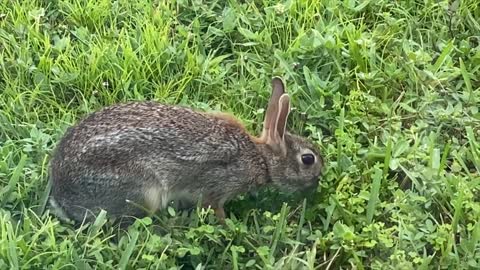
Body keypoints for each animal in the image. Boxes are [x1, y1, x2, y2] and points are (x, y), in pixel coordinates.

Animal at [47, 77, 322, 225]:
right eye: (308, 159)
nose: (318, 181)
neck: (260, 158)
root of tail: (63, 196)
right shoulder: (216, 189)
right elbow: (216, 209)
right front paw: (228, 225)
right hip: (144, 190)